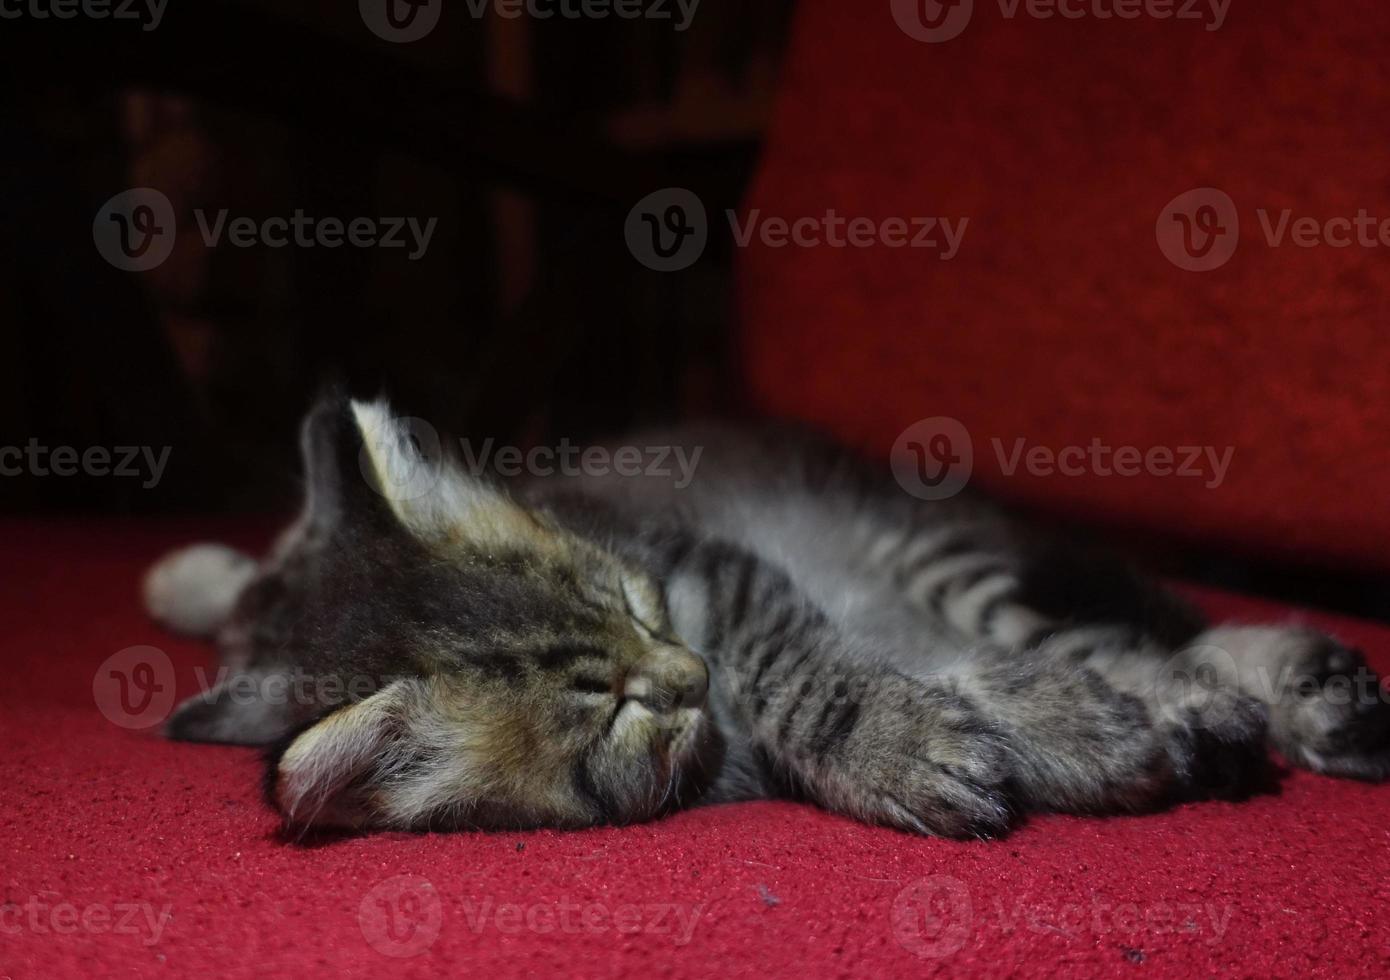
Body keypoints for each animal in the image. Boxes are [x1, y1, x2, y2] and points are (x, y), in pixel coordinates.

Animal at [143, 394, 1390, 834]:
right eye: (611, 709)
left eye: (628, 595)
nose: (689, 674)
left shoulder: (730, 576)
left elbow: (816, 673)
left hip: (942, 556)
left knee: (1131, 635)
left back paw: (1281, 697)